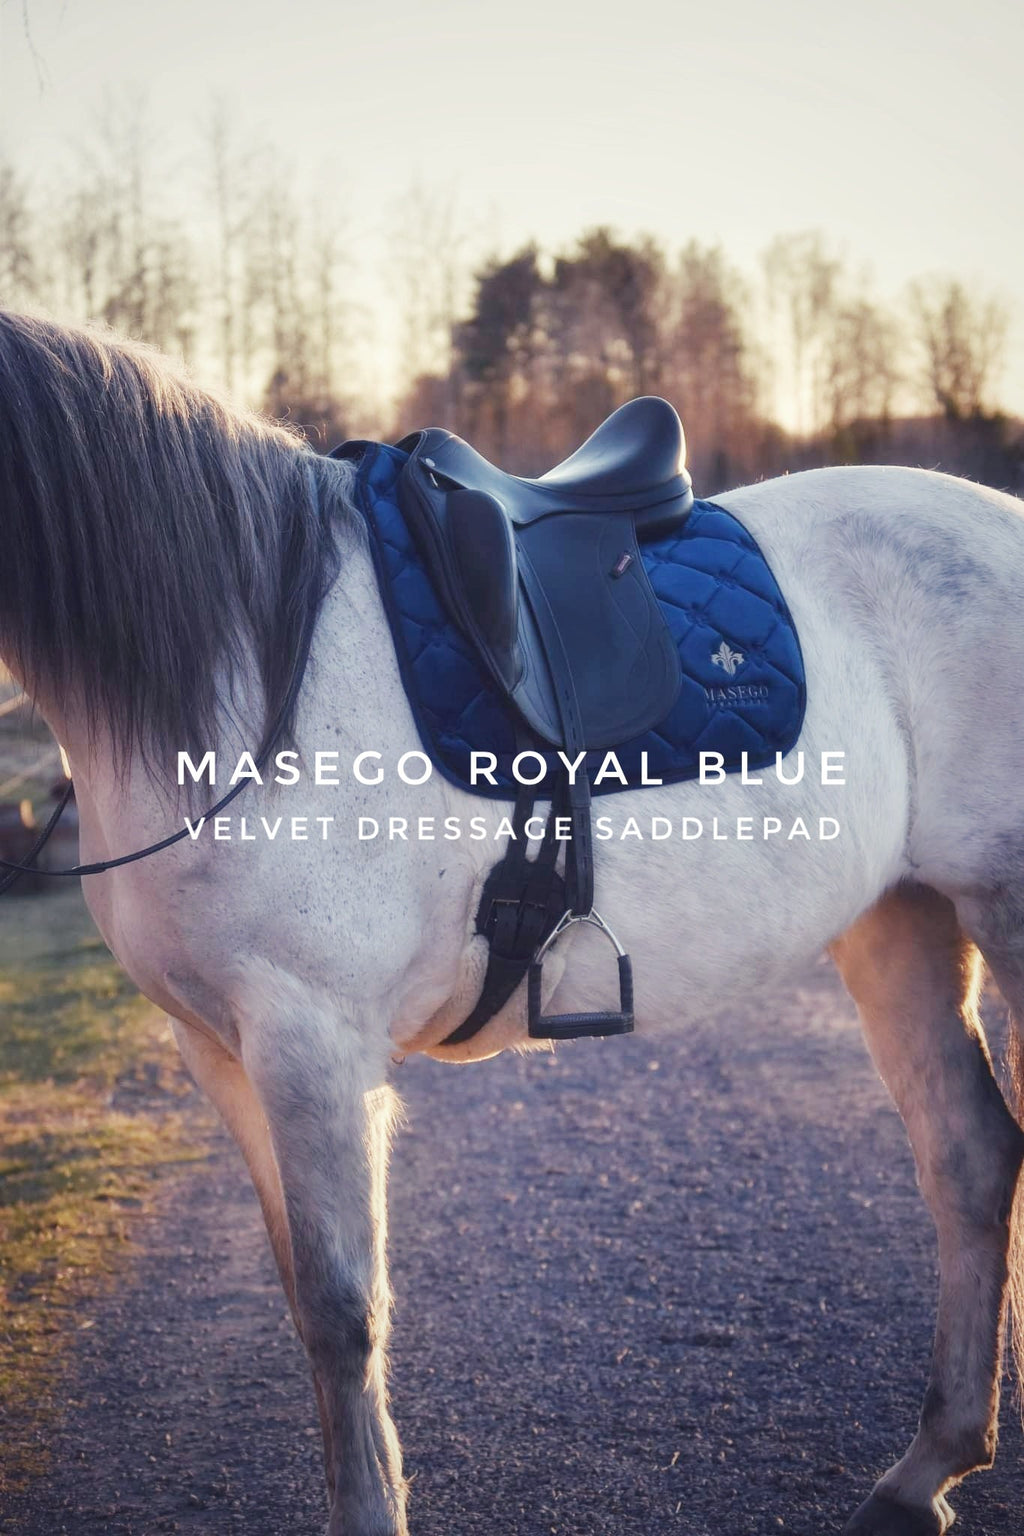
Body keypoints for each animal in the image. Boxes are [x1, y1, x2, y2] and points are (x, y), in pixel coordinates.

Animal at [1, 308, 1023, 1536]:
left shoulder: (312, 1044)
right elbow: (304, 1295)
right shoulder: (217, 1048)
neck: (242, 672)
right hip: (899, 920)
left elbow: (343, 1310)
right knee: (969, 1159)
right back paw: (923, 1473)